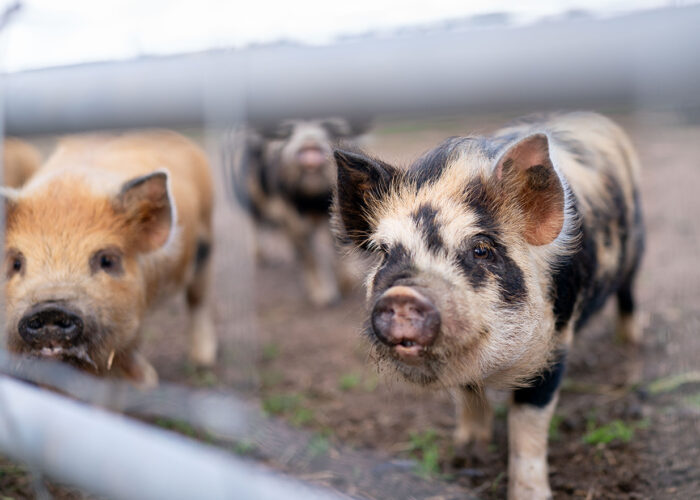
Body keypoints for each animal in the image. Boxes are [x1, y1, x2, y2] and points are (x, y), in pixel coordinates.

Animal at [2, 131, 216, 387]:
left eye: (107, 261)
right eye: (16, 263)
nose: (50, 309)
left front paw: (146, 383)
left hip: (205, 240)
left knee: (198, 298)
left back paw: (203, 361)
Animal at [234, 118, 369, 306]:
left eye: (328, 127)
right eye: (290, 131)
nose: (309, 142)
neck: (313, 200)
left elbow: (338, 244)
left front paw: (346, 286)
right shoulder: (292, 215)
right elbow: (309, 255)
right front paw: (324, 299)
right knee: (257, 222)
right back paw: (263, 259)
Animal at [332, 112, 644, 499]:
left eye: (481, 249)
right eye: (384, 252)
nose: (403, 295)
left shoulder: (555, 343)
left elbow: (528, 424)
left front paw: (529, 494)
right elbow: (468, 395)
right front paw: (466, 453)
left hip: (636, 248)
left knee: (629, 293)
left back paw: (632, 342)